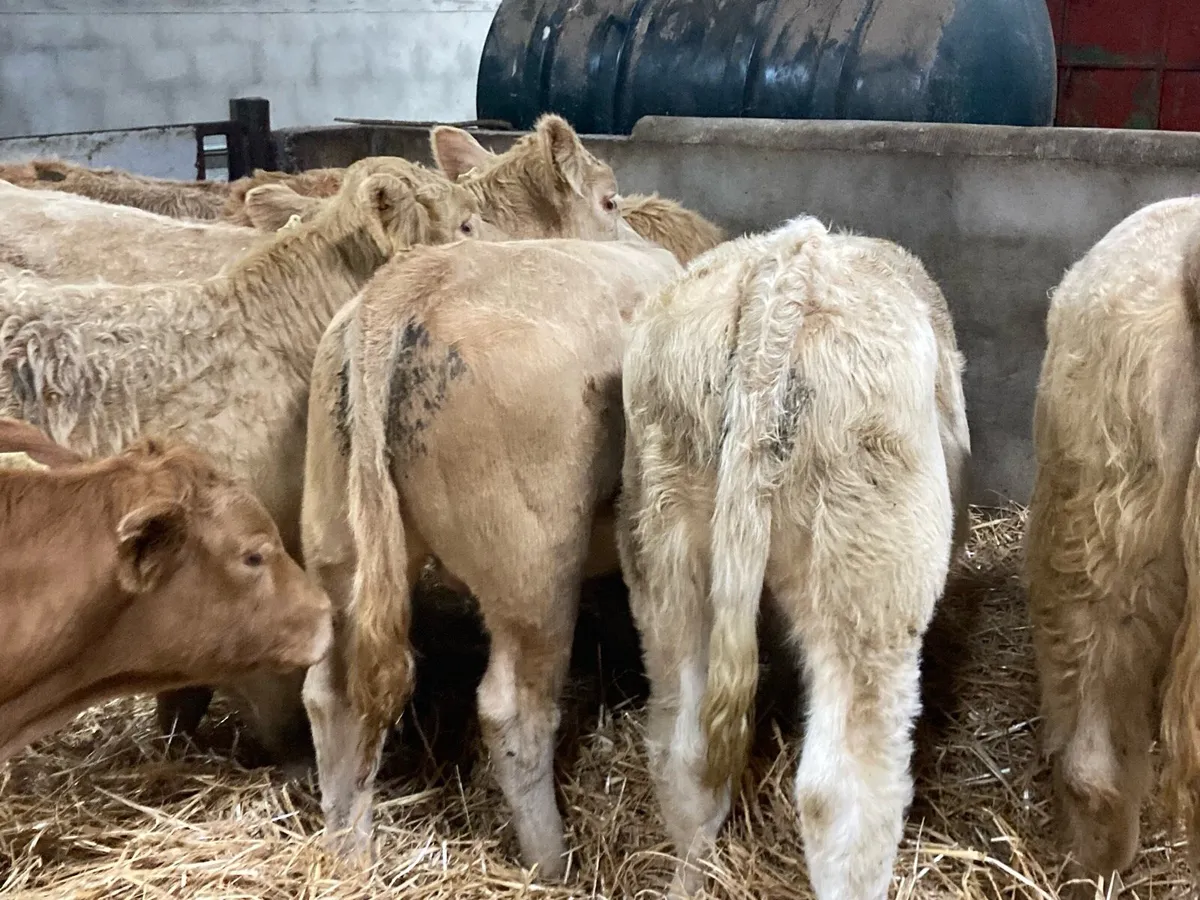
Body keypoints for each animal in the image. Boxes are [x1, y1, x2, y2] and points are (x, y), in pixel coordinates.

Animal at [297, 236, 682, 873]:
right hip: (534, 567)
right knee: (513, 713)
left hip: (337, 541)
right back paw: (551, 864)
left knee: (333, 695)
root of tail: (412, 281)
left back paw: (349, 852)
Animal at [613, 216, 971, 900]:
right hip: (867, 584)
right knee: (841, 792)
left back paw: (690, 874)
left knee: (683, 747)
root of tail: (788, 262)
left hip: (665, 553)